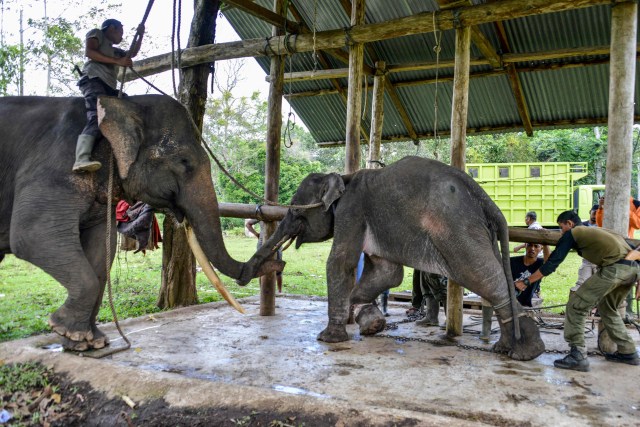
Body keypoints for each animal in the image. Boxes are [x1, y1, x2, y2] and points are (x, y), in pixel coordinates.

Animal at [0, 95, 282, 352]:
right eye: (184, 162)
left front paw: (88, 343)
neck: (124, 103)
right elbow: (31, 236)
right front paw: (69, 331)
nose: (278, 263)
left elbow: (102, 248)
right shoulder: (56, 169)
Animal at [238, 155, 548, 362]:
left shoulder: (351, 210)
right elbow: (387, 273)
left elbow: (341, 262)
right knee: (493, 272)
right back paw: (509, 348)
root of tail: (485, 199)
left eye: (295, 210)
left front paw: (328, 338)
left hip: (455, 229)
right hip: (478, 231)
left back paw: (526, 353)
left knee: (478, 274)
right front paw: (371, 322)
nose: (242, 278)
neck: (343, 177)